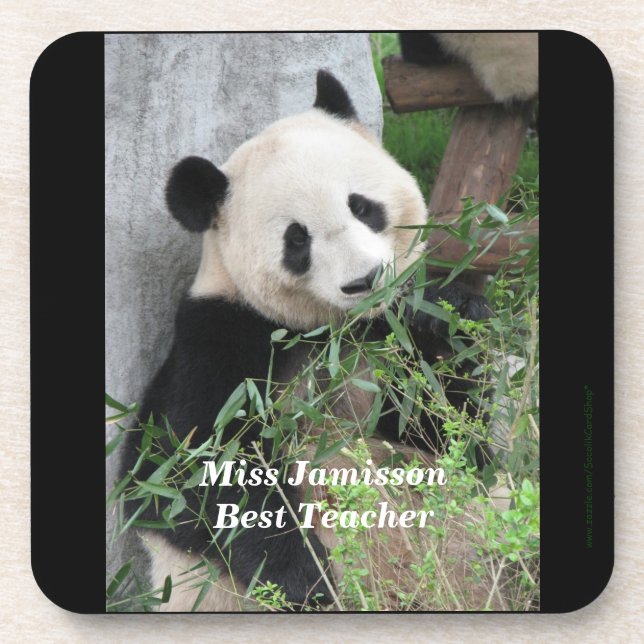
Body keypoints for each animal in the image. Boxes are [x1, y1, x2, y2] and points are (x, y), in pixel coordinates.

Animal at [118, 70, 490, 611]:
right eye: (298, 240)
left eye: (362, 207)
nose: (364, 281)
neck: (334, 329)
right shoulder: (220, 340)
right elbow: (182, 475)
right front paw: (308, 581)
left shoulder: (382, 346)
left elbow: (455, 442)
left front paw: (446, 316)